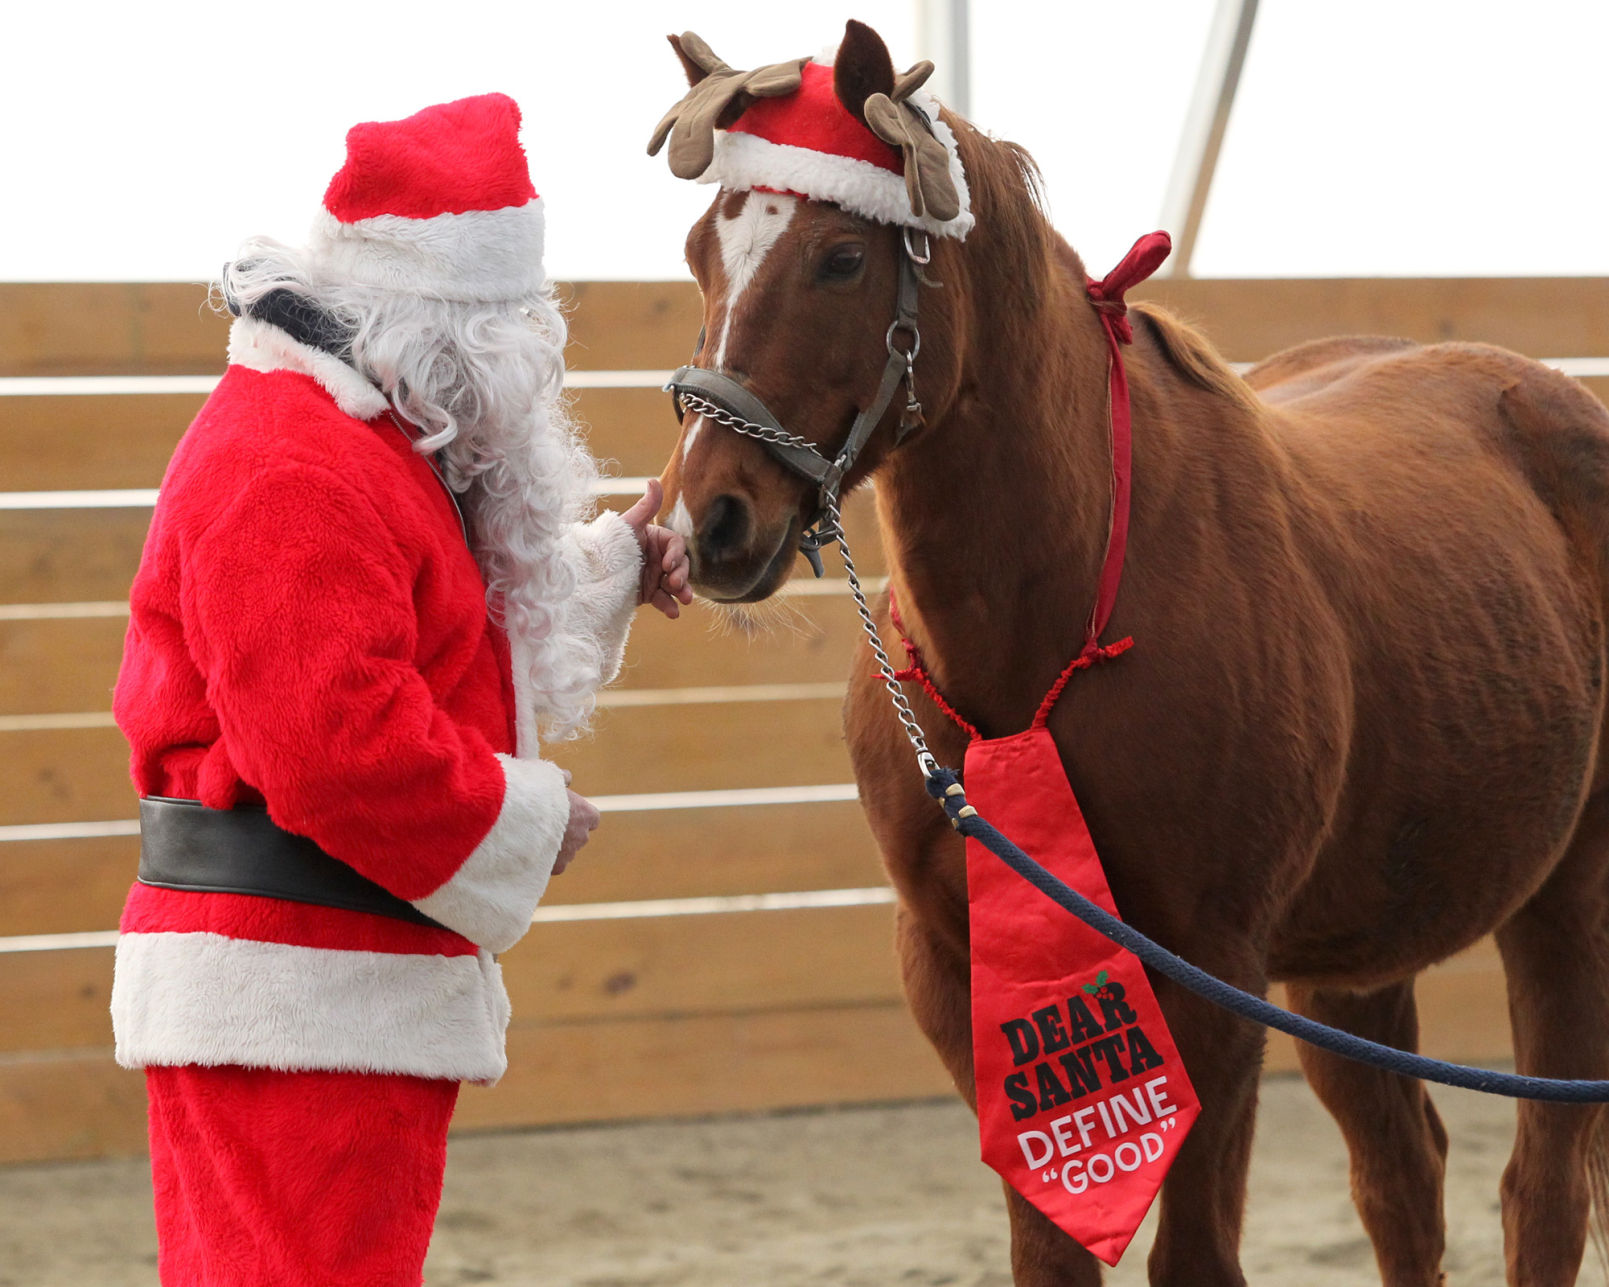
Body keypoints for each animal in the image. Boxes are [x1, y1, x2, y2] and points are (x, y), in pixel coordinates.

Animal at [650, 20, 1609, 1287]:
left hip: (1569, 896)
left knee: (1540, 1187)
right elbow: (1051, 1252)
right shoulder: (955, 968)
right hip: (1350, 965)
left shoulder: (1214, 972)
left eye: (842, 259)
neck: (1051, 631)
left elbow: (1194, 1251)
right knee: (1404, 1180)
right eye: (701, 249)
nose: (706, 519)